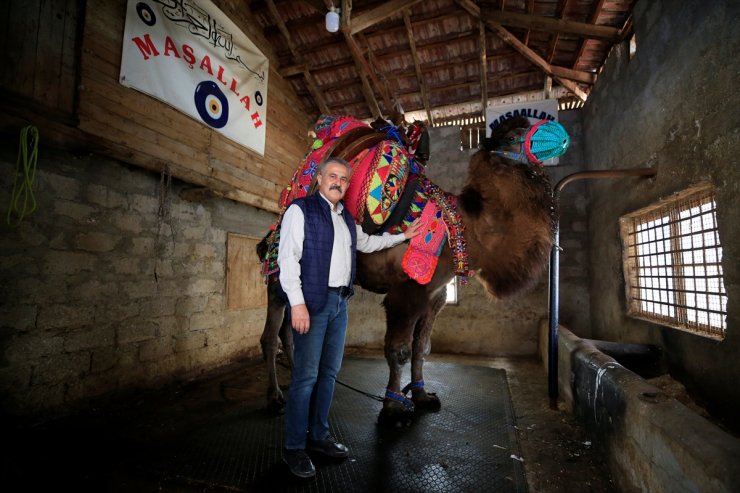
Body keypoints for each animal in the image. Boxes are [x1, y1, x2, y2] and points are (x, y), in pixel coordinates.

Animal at [258, 115, 552, 422]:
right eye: (515, 135)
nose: (556, 135)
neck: (462, 230)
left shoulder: (435, 295)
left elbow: (422, 347)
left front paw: (422, 396)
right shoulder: (406, 292)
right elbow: (398, 350)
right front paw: (394, 407)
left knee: (293, 333)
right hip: (279, 277)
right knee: (270, 336)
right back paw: (275, 398)